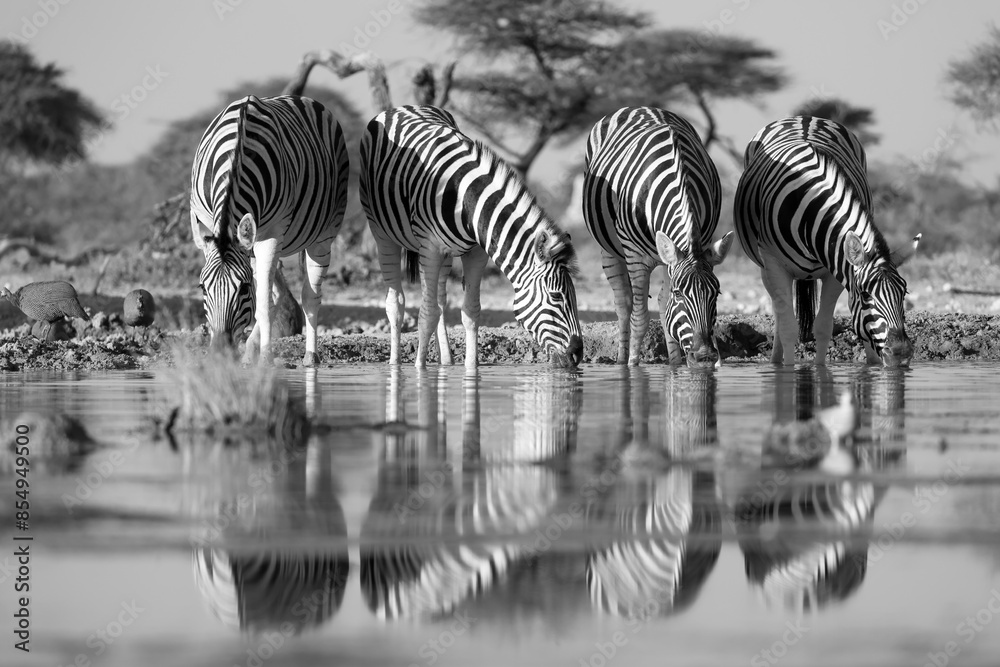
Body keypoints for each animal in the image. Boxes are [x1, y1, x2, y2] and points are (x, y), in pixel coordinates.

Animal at [190, 94, 349, 366]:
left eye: (244, 288)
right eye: (202, 288)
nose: (220, 354)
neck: (237, 153)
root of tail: (302, 98)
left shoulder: (272, 233)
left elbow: (262, 304)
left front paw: (266, 358)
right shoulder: (209, 229)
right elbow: (263, 300)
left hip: (324, 233)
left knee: (309, 297)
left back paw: (310, 356)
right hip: (253, 247)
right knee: (276, 294)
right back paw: (251, 350)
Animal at [359, 105, 583, 369]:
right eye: (556, 296)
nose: (578, 355)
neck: (464, 201)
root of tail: (403, 107)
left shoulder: (476, 252)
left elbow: (471, 312)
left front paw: (471, 368)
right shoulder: (430, 249)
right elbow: (426, 314)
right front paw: (420, 370)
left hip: (444, 255)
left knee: (440, 301)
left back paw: (446, 361)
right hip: (382, 234)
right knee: (396, 304)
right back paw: (395, 363)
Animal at [583, 107, 733, 367]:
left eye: (717, 294)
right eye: (679, 293)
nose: (704, 356)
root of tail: (639, 107)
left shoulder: (688, 250)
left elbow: (665, 308)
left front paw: (676, 365)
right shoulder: (635, 257)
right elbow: (640, 317)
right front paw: (633, 366)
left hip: (665, 258)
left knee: (659, 304)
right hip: (609, 250)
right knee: (624, 304)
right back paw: (621, 360)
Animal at [733, 116, 920, 367]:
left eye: (904, 293)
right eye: (865, 295)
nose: (900, 354)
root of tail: (804, 118)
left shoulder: (836, 271)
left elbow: (823, 327)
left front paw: (820, 369)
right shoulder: (774, 264)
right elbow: (789, 328)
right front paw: (787, 369)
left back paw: (871, 361)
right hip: (766, 268)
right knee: (779, 310)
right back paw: (775, 360)